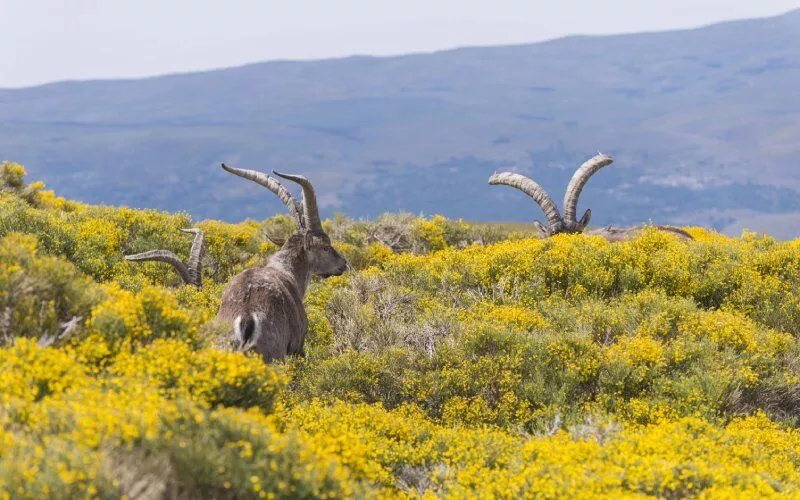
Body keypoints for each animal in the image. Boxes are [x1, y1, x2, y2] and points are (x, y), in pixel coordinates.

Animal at [216, 163, 348, 362]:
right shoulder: (297, 346)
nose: (343, 263)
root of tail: (246, 317)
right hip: (274, 354)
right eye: (325, 247)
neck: (286, 271)